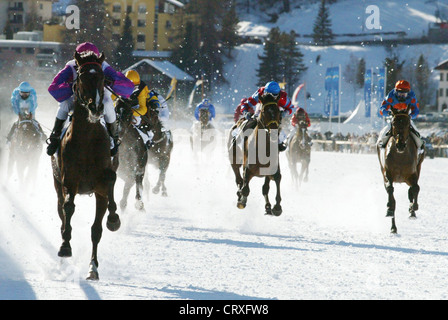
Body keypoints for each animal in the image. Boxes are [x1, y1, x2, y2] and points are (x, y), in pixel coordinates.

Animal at [50, 50, 121, 280]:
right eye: (81, 76)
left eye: (102, 76)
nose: (96, 107)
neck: (87, 140)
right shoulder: (69, 180)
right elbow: (68, 208)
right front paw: (65, 247)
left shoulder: (101, 184)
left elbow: (98, 228)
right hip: (57, 185)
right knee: (62, 213)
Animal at [378, 106, 424, 234]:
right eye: (393, 122)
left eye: (408, 123)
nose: (400, 144)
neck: (400, 156)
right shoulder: (387, 173)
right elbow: (390, 190)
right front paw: (389, 207)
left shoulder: (412, 174)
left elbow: (416, 188)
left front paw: (414, 208)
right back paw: (393, 227)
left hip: (418, 167)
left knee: (413, 189)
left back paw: (411, 211)